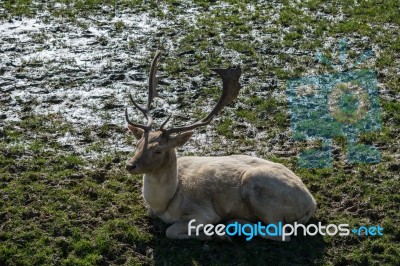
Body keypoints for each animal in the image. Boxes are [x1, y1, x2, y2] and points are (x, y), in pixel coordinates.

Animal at [124, 51, 316, 241]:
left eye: (158, 150)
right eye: (138, 143)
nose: (130, 165)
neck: (164, 204)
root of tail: (311, 203)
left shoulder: (203, 213)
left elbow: (170, 231)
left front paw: (215, 234)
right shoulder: (152, 210)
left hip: (259, 189)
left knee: (280, 234)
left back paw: (232, 226)